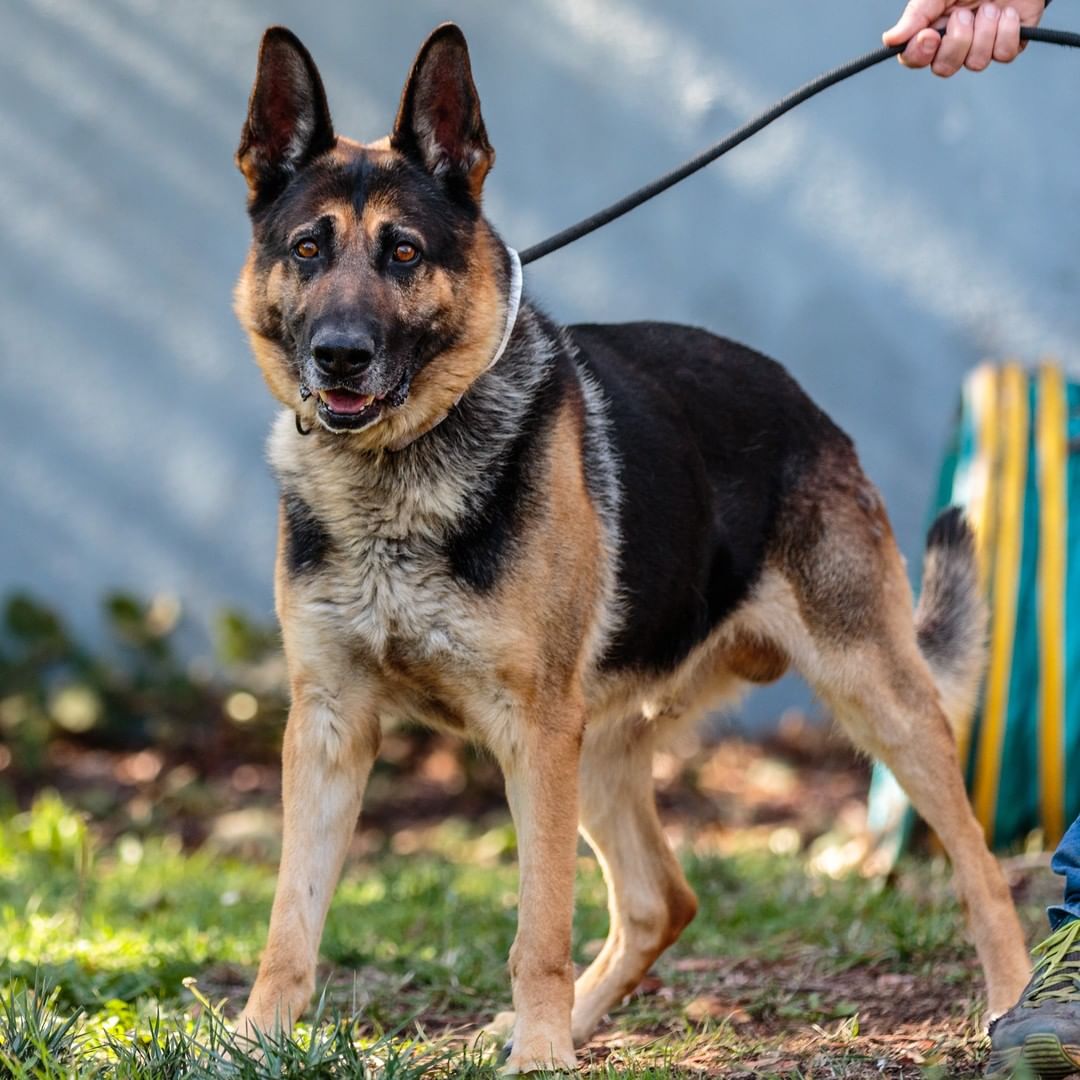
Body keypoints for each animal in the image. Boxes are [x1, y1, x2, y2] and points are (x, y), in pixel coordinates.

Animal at [234, 21, 1028, 1067]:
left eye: (403, 252)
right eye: (307, 249)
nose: (339, 355)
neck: (396, 478)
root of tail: (806, 404)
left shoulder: (533, 733)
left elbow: (538, 926)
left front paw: (540, 1056)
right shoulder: (329, 728)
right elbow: (290, 921)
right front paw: (251, 1042)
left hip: (875, 702)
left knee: (981, 869)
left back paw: (1015, 1002)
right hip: (603, 749)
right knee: (663, 900)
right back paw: (568, 1021)